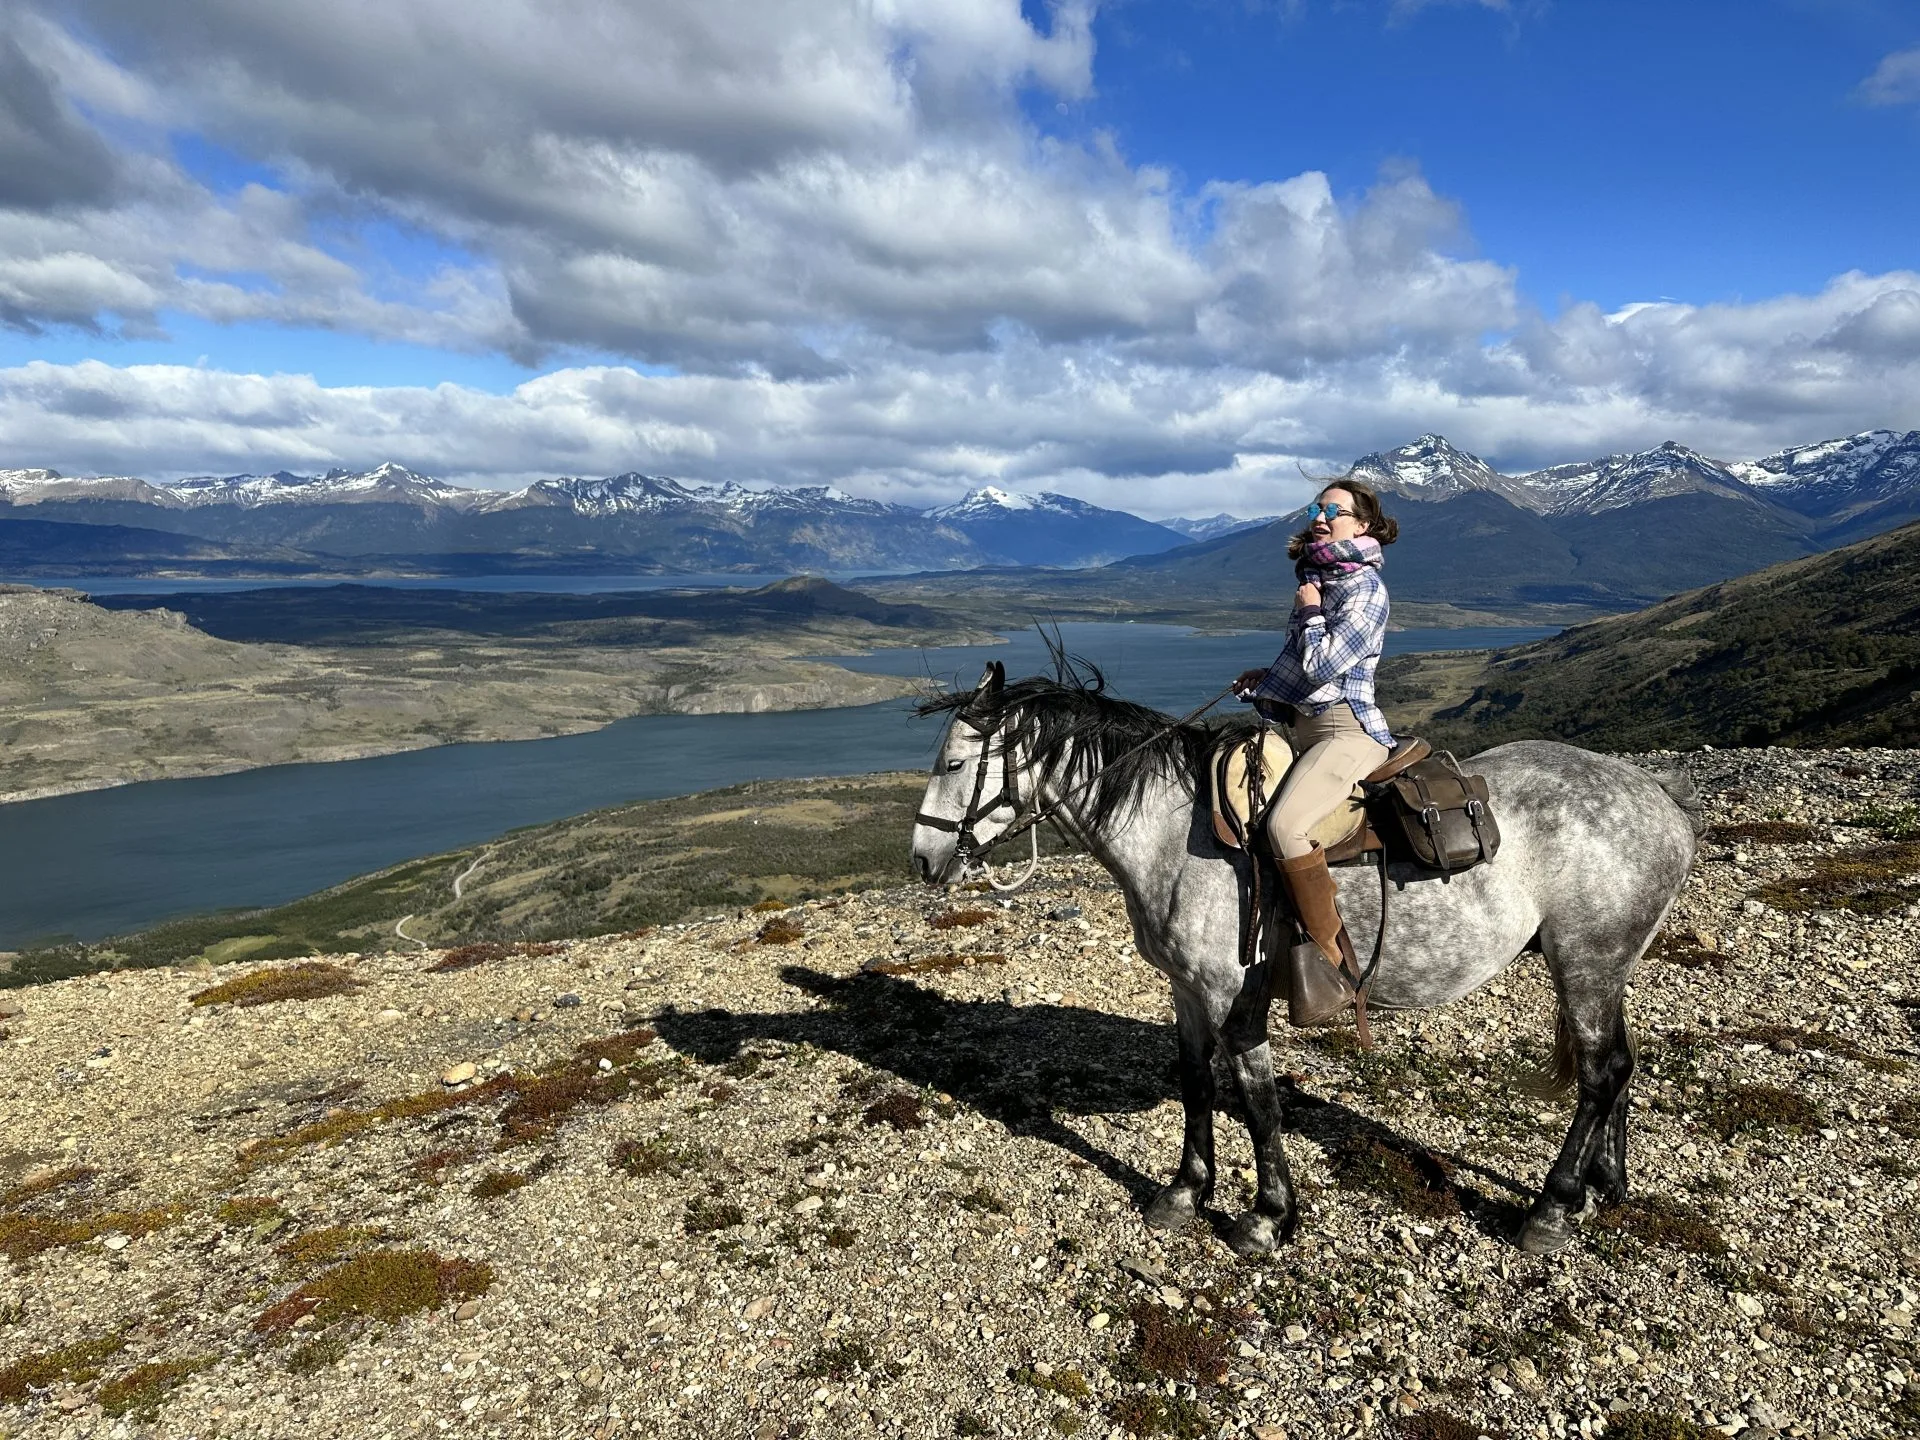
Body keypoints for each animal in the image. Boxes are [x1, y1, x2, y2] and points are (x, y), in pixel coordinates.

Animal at [906, 660, 1704, 1259]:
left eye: (955, 761)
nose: (922, 861)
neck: (1175, 835)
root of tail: (1659, 795)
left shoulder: (1232, 996)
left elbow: (1259, 1103)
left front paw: (1267, 1218)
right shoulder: (1185, 992)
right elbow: (1196, 1084)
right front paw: (1184, 1193)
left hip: (1586, 962)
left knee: (1600, 1074)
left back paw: (1551, 1209)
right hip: (1604, 968)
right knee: (1621, 1065)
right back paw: (1604, 1188)